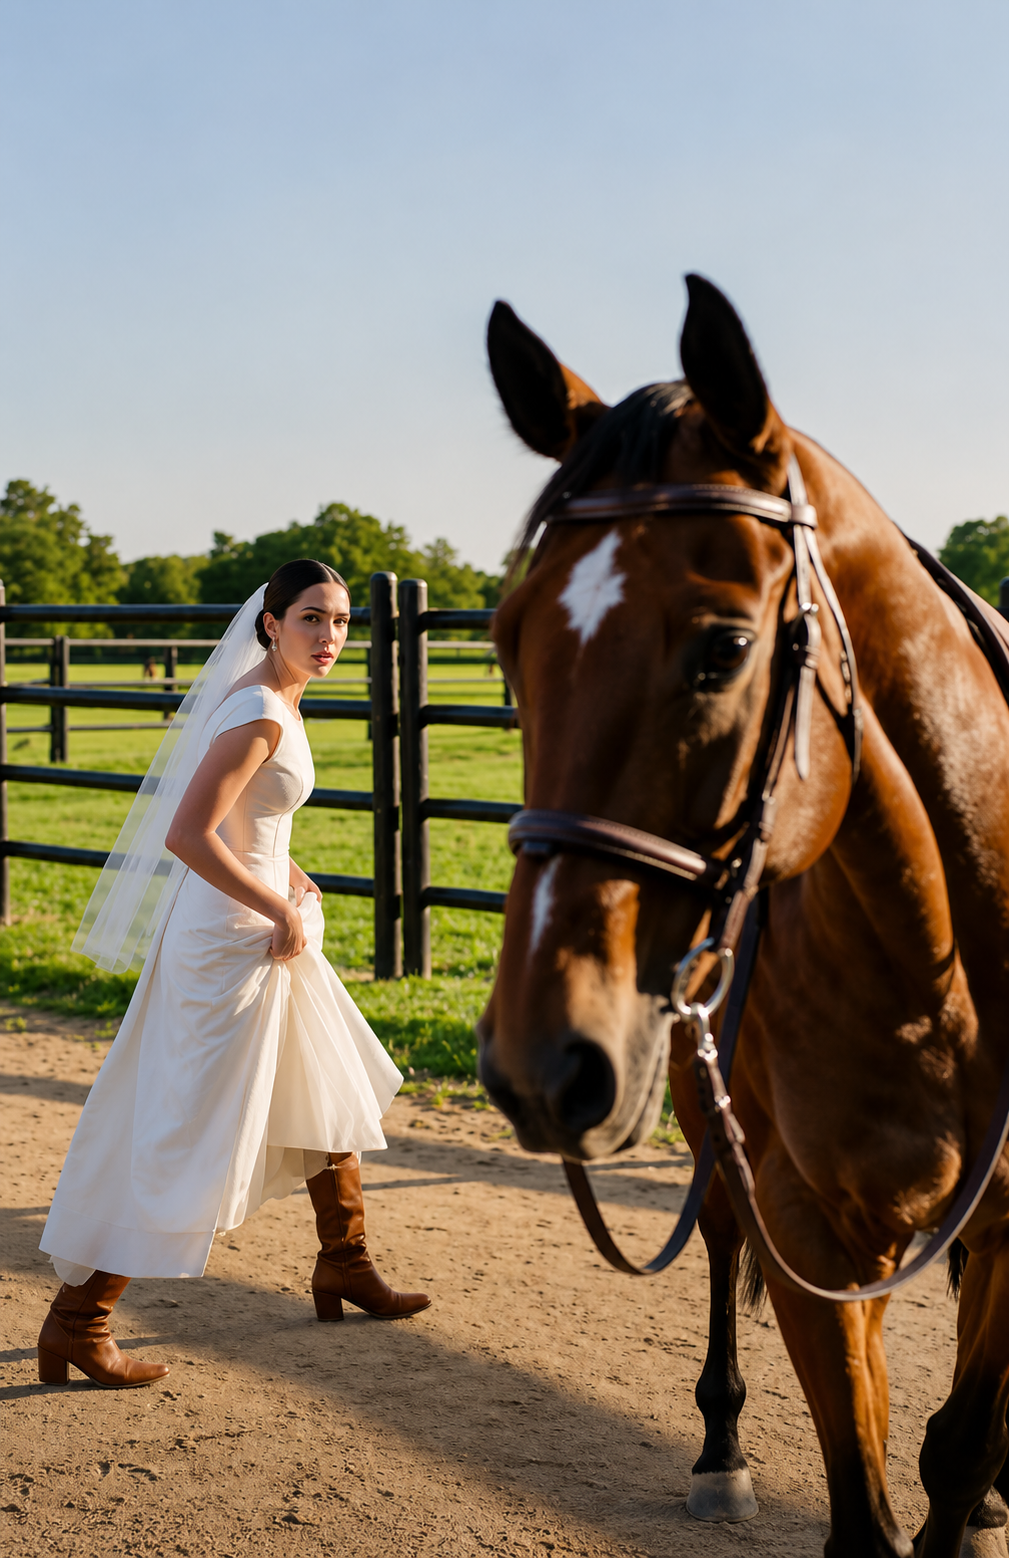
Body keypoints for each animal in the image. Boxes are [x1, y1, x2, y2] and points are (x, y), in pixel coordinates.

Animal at [476, 276, 1009, 1558]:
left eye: (723, 646)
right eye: (508, 640)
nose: (536, 1058)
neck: (941, 963)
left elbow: (960, 1445)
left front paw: (975, 1499)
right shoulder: (810, 1222)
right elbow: (864, 1496)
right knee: (720, 1239)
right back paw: (720, 1448)